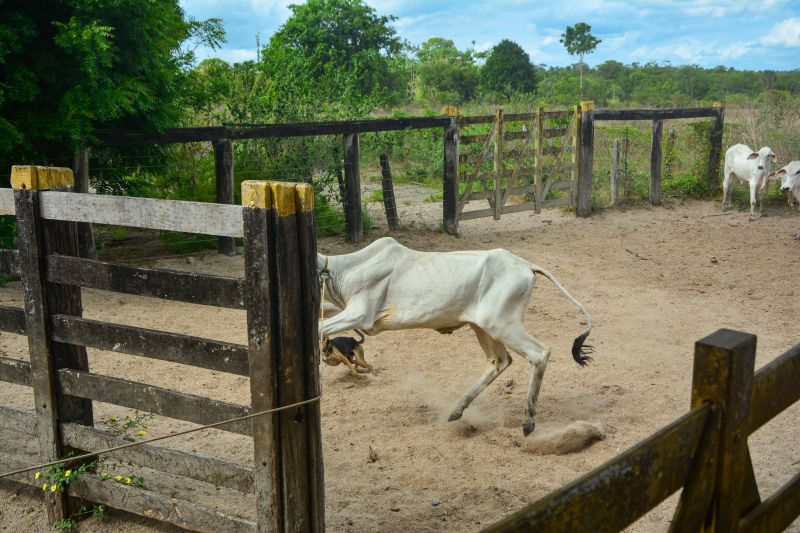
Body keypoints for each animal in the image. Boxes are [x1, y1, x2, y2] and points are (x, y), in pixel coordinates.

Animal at [316, 238, 592, 436]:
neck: (344, 270)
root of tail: (525, 265)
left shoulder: (360, 314)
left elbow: (322, 328)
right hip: (483, 327)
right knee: (500, 361)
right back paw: (456, 411)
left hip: (502, 325)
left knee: (539, 353)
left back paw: (528, 421)